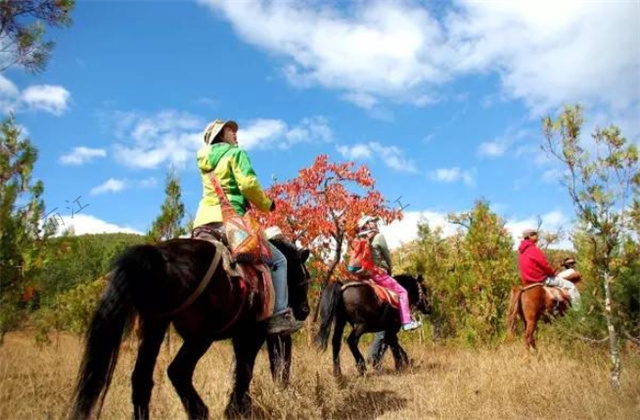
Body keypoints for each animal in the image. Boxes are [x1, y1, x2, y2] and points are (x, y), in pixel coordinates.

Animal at [68, 238, 310, 418]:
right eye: (305, 279)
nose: (305, 310)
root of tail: (158, 255)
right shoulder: (253, 335)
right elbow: (245, 371)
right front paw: (236, 409)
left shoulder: (242, 337)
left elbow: (243, 370)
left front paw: (240, 407)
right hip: (200, 336)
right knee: (178, 371)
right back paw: (200, 411)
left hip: (155, 328)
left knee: (141, 379)